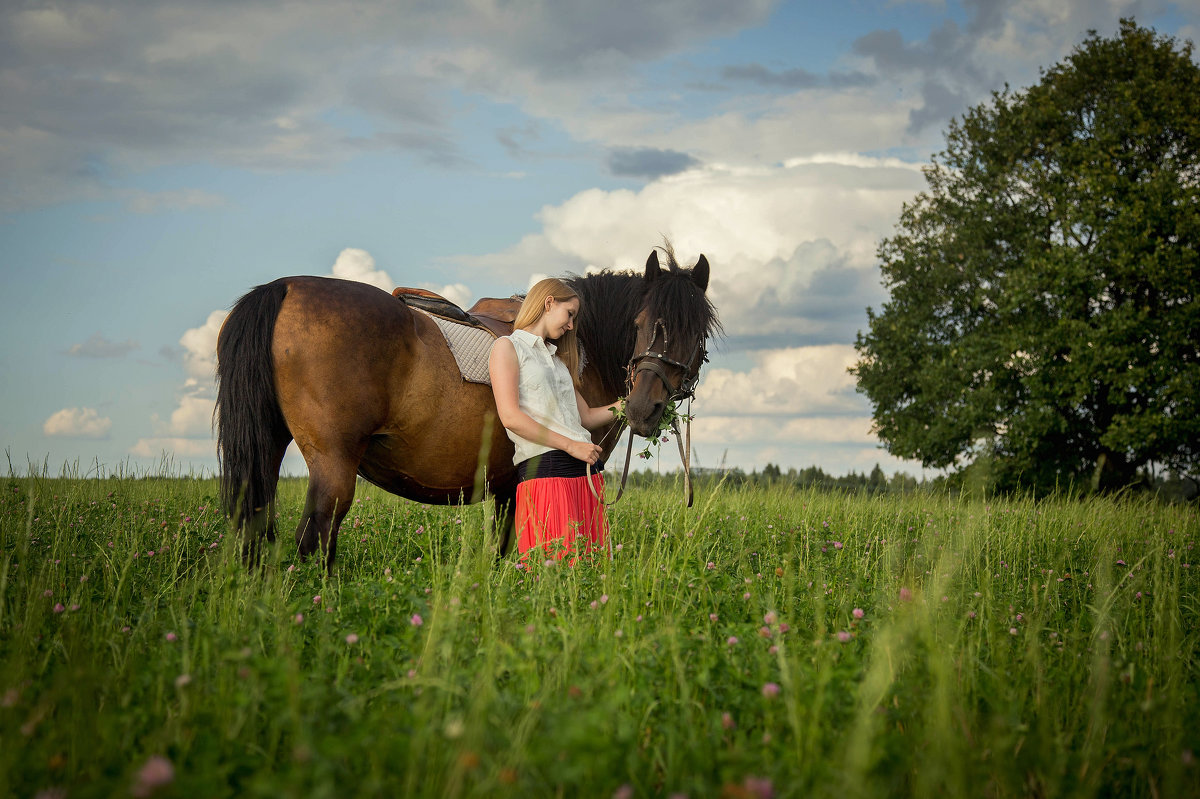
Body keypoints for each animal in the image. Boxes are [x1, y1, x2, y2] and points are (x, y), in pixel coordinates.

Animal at [213, 242, 720, 566]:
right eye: (640, 323)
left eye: (698, 332)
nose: (643, 409)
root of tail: (285, 288)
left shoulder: (506, 486)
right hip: (333, 464)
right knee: (314, 537)